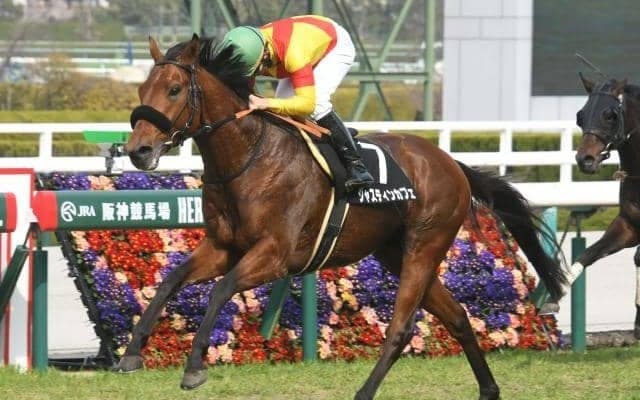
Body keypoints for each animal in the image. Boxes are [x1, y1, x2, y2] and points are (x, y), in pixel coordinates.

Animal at [116, 34, 567, 400]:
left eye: (174, 89)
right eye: (141, 87)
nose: (138, 150)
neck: (249, 157)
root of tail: (451, 162)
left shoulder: (275, 255)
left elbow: (220, 290)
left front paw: (193, 368)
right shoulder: (223, 246)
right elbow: (170, 281)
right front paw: (132, 353)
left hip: (426, 245)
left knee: (401, 328)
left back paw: (365, 391)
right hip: (394, 251)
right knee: (457, 316)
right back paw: (489, 389)